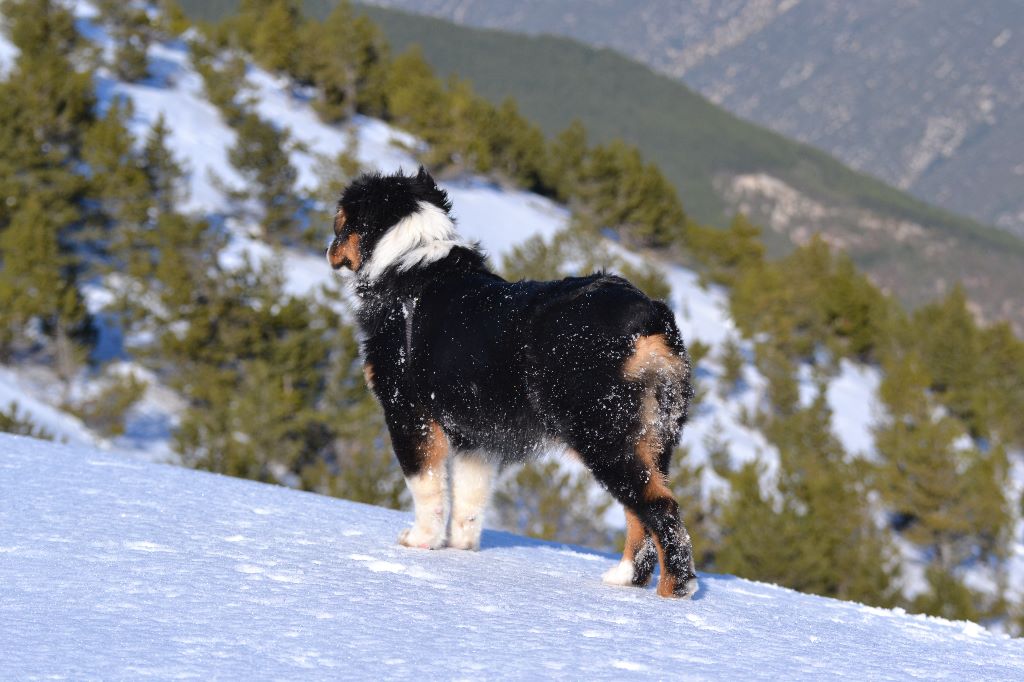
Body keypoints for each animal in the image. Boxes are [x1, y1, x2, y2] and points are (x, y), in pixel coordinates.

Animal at [327, 167, 698, 598]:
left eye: (339, 221)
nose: (329, 250)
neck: (409, 264)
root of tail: (649, 315)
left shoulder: (408, 411)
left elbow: (426, 484)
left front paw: (420, 541)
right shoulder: (477, 432)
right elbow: (469, 496)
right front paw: (460, 549)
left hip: (602, 434)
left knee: (660, 509)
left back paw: (673, 593)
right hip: (656, 436)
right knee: (643, 510)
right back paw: (624, 579)